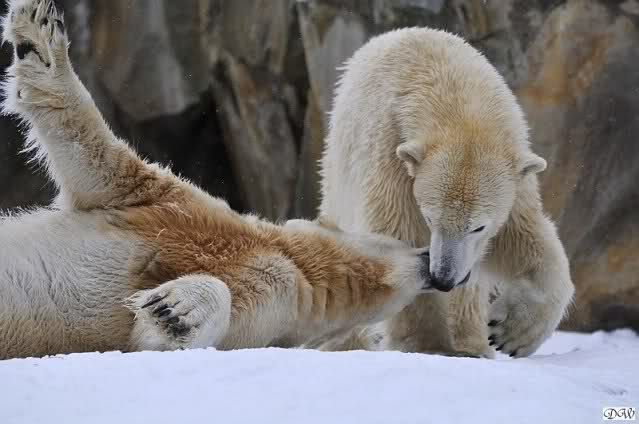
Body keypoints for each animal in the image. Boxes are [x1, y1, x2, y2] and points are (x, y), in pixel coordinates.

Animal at [0, 0, 435, 360]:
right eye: (404, 240)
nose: (434, 266)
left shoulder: (271, 308)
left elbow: (184, 326)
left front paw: (173, 310)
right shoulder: (173, 206)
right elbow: (100, 158)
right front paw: (38, 33)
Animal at [318, 27, 575, 358]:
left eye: (478, 227)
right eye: (429, 219)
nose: (443, 278)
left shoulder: (515, 178)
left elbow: (521, 237)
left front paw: (510, 332)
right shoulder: (392, 156)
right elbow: (398, 232)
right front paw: (428, 345)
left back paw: (472, 343)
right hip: (340, 163)